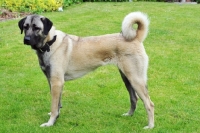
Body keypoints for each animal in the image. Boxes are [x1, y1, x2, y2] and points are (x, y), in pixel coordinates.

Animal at [17, 11, 155, 129]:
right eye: (25, 27)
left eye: (36, 28)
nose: (26, 40)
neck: (50, 43)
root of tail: (136, 37)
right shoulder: (53, 82)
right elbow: (57, 104)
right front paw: (56, 117)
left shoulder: (56, 82)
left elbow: (54, 106)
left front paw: (50, 123)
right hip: (127, 78)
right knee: (134, 98)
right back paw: (129, 115)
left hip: (135, 79)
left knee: (149, 104)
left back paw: (150, 126)